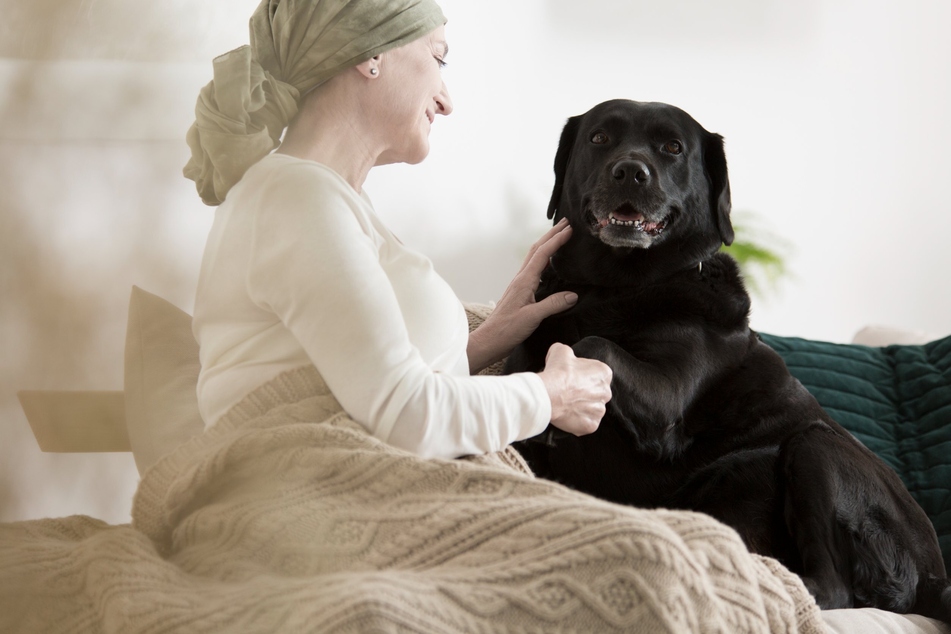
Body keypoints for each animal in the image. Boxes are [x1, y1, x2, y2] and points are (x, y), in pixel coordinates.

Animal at [510, 99, 951, 616]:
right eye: (599, 138)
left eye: (672, 147)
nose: (630, 172)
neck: (614, 286)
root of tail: (934, 578)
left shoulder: (667, 399)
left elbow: (591, 346)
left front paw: (565, 407)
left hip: (815, 444)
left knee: (830, 590)